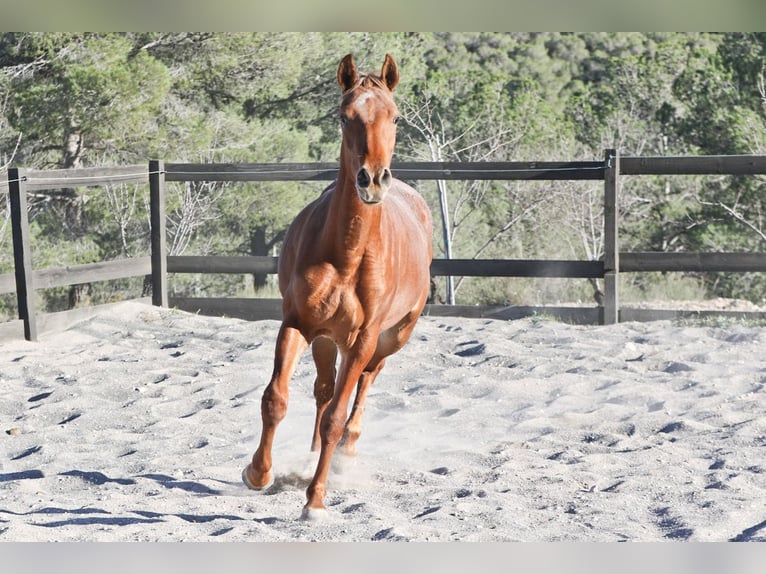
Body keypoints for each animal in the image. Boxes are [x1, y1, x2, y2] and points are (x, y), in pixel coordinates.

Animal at [243, 55, 436, 520]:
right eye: (344, 116)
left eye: (395, 116)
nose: (373, 180)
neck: (347, 255)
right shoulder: (297, 324)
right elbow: (276, 399)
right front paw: (258, 472)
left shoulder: (363, 338)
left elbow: (336, 416)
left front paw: (315, 499)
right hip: (328, 339)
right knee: (324, 390)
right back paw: (313, 452)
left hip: (390, 338)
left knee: (363, 385)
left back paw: (347, 451)